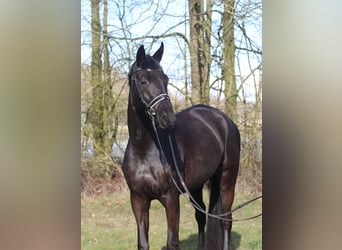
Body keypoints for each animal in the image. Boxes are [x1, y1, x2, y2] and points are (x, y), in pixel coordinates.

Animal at [123, 43, 240, 250]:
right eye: (143, 81)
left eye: (165, 79)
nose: (168, 118)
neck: (144, 151)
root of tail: (225, 120)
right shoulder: (138, 199)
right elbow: (143, 243)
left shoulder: (171, 198)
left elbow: (172, 242)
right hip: (196, 186)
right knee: (201, 216)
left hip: (227, 179)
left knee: (225, 221)